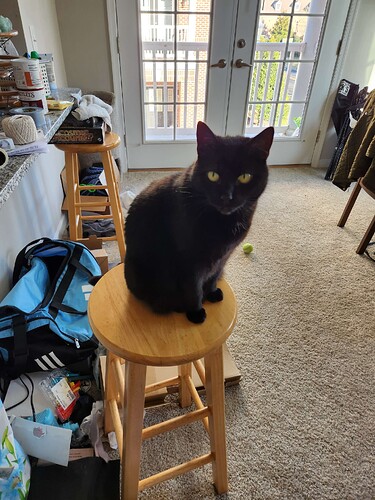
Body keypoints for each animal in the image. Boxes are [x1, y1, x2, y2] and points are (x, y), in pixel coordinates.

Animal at [125, 122, 274, 324]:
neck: (222, 222)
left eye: (244, 177)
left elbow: (213, 277)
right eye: (213, 175)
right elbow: (193, 289)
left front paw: (211, 293)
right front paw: (195, 312)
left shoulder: (223, 258)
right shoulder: (189, 262)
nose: (226, 197)